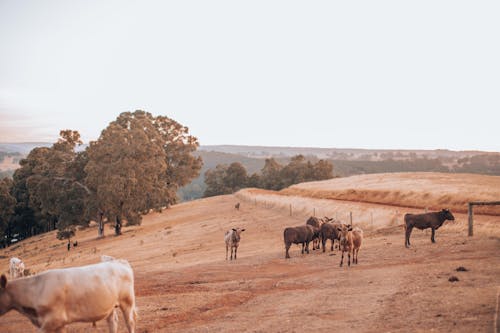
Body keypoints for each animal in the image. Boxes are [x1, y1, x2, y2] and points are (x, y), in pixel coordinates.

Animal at [0, 258, 137, 330]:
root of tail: (118, 262)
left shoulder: (51, 322)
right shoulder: (59, 325)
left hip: (127, 302)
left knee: (130, 323)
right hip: (110, 306)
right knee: (112, 322)